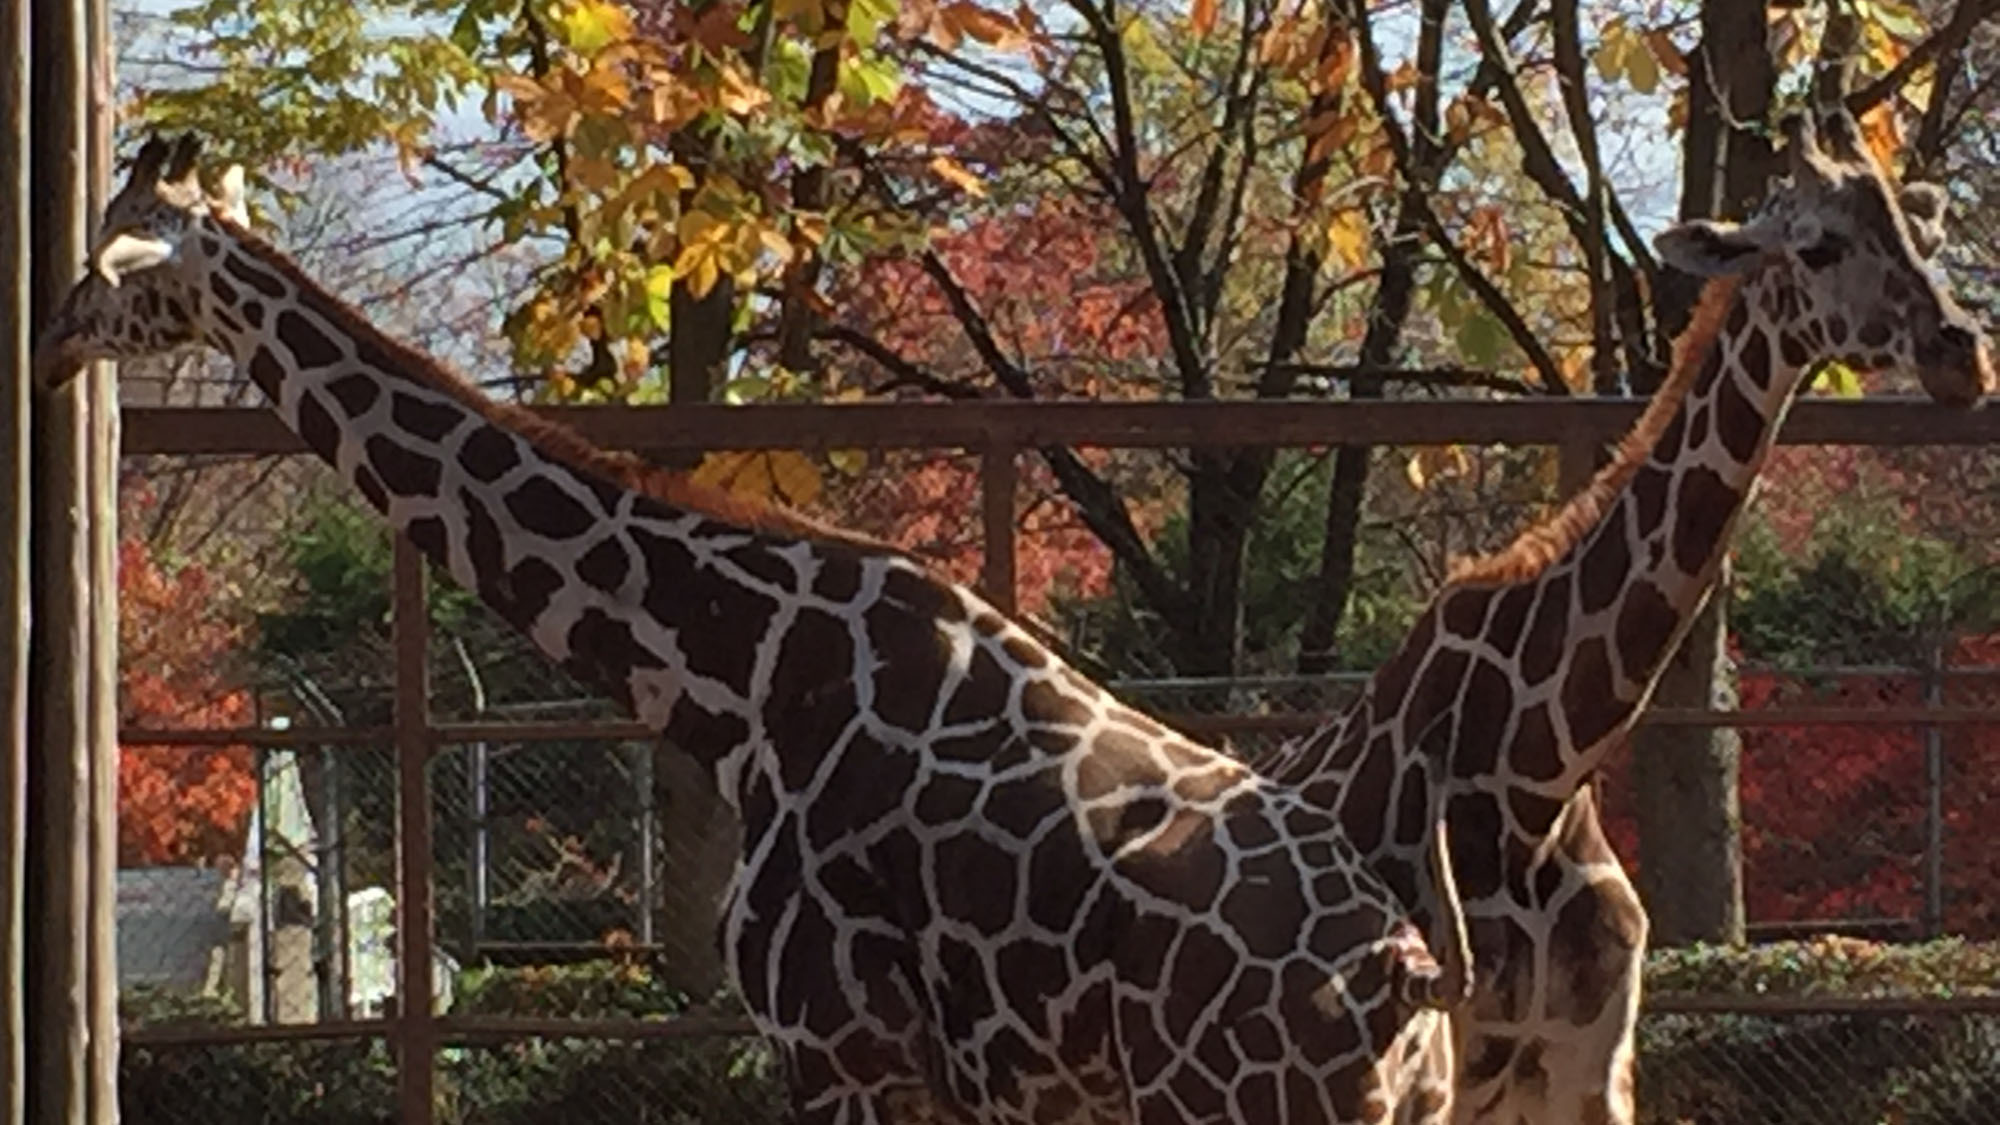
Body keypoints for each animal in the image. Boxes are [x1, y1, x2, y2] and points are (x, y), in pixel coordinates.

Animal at [35, 133, 1472, 1120]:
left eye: (115, 255)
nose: (48, 339)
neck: (739, 668)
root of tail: (1402, 973)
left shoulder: (841, 1048)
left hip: (1238, 1100)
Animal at [1248, 98, 1984, 1120]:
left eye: (1923, 238)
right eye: (1820, 245)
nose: (1963, 354)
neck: (1538, 774)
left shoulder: (1591, 1065)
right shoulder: (1440, 1060)